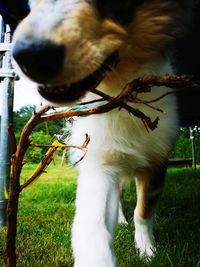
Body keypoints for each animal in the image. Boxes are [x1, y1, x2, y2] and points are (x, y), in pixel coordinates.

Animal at [11, 1, 195, 266]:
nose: (30, 56)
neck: (121, 93)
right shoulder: (99, 159)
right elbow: (92, 226)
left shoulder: (157, 160)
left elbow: (143, 211)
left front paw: (147, 251)